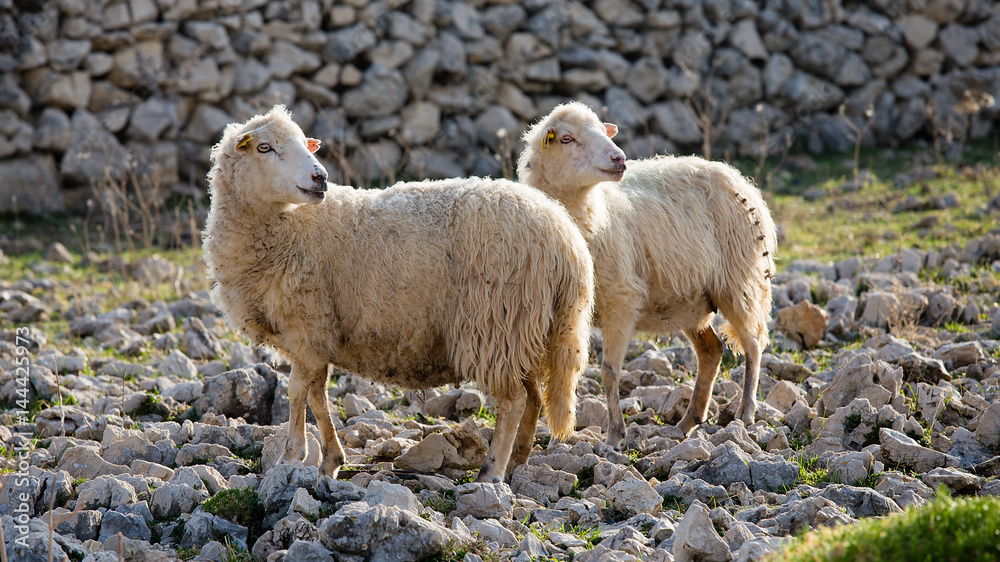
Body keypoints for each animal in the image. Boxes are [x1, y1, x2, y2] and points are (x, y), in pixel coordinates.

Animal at [203, 105, 594, 482]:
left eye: (304, 143)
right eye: (264, 148)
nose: (320, 177)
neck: (288, 226)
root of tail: (565, 238)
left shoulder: (305, 326)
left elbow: (297, 392)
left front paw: (291, 455)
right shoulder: (318, 334)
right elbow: (317, 395)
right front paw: (330, 460)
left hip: (496, 323)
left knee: (513, 400)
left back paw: (492, 471)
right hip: (526, 328)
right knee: (533, 397)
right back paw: (517, 461)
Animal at [517, 101, 777, 444]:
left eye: (604, 131)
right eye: (566, 138)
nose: (619, 158)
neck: (593, 211)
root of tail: (737, 177)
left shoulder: (621, 302)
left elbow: (609, 373)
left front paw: (615, 435)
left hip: (739, 283)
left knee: (753, 344)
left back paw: (746, 411)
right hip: (693, 299)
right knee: (712, 350)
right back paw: (688, 421)